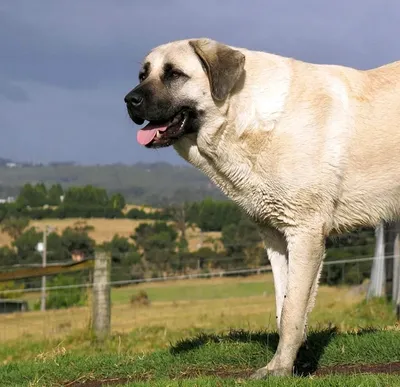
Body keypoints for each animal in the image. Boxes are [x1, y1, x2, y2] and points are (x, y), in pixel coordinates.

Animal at [123, 38, 400, 378]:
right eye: (142, 75)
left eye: (174, 74)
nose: (129, 100)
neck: (242, 114)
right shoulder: (277, 238)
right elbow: (286, 308)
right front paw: (293, 362)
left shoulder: (305, 232)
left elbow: (293, 310)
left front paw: (279, 369)